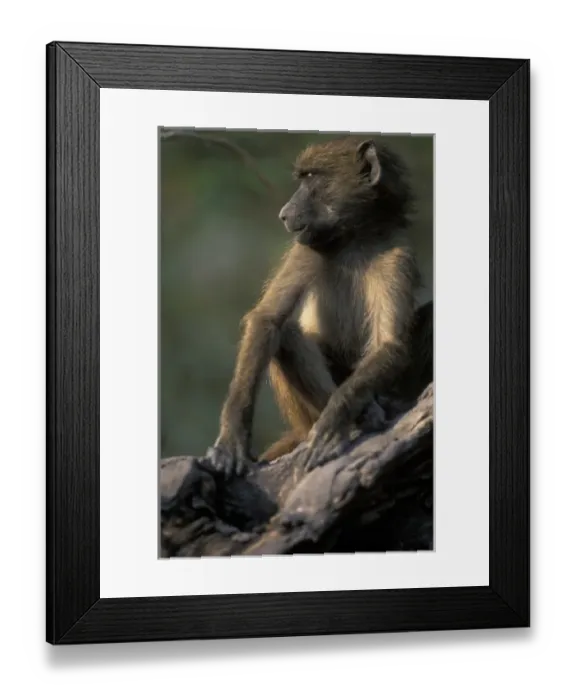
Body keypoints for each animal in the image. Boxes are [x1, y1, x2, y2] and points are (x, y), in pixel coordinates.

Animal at [207, 136, 430, 478]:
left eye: (312, 178)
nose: (284, 214)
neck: (355, 238)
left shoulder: (398, 256)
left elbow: (389, 344)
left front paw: (334, 422)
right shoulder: (307, 246)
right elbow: (268, 319)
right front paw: (232, 439)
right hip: (304, 415)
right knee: (287, 335)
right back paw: (366, 415)